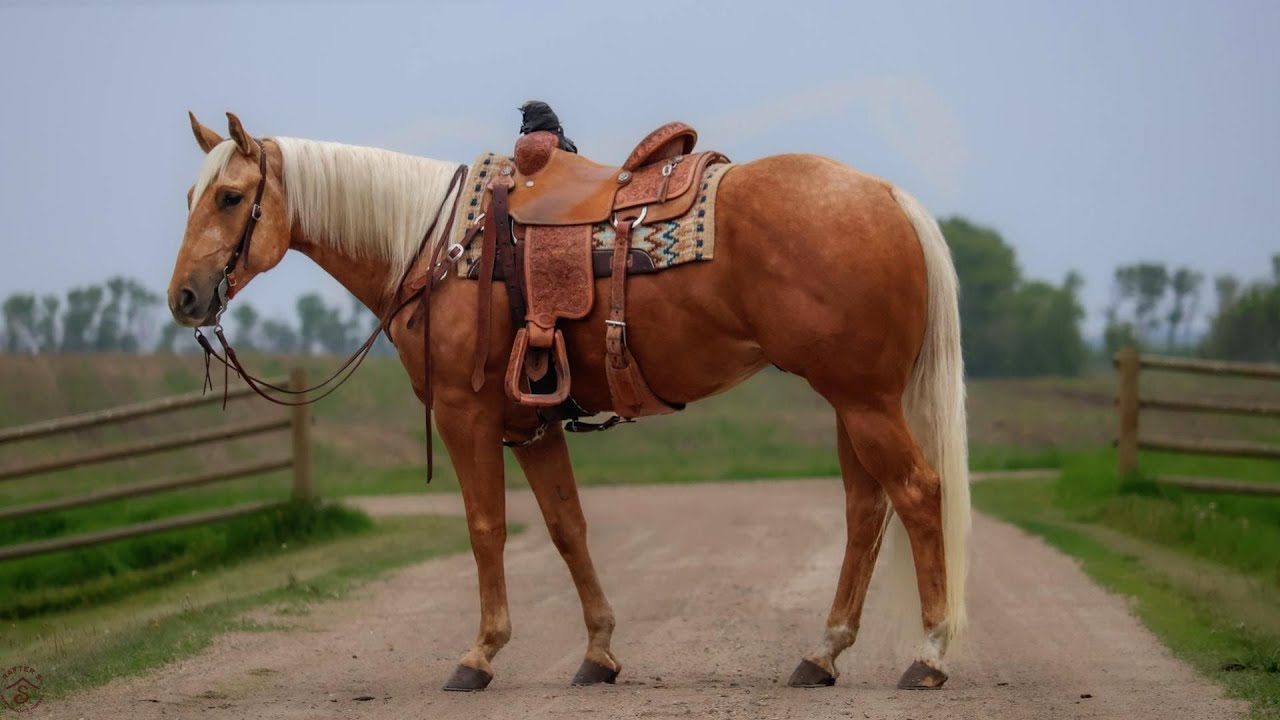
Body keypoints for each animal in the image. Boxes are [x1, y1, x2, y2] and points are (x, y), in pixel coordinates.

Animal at [169, 112, 970, 693]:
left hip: (864, 402)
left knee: (918, 493)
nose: (184, 298)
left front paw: (480, 656)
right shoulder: (531, 426)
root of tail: (886, 195)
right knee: (865, 511)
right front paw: (599, 654)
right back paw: (822, 654)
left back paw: (929, 655)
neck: (435, 249)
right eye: (189, 196)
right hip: (850, 402)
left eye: (231, 197)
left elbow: (487, 528)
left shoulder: (466, 416)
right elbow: (567, 529)